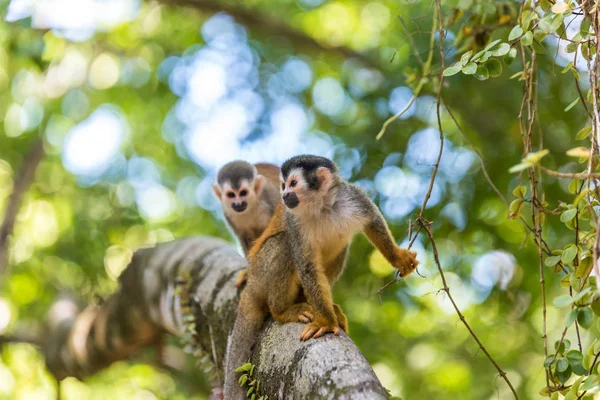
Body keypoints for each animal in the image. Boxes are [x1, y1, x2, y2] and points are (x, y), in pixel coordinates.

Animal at [223, 155, 420, 398]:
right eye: (283, 185)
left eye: (293, 183)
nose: (284, 195)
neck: (322, 206)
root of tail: (250, 284)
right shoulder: (294, 221)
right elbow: (307, 266)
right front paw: (326, 321)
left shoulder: (352, 197)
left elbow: (373, 221)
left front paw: (397, 257)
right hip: (261, 272)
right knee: (284, 244)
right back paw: (283, 311)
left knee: (341, 248)